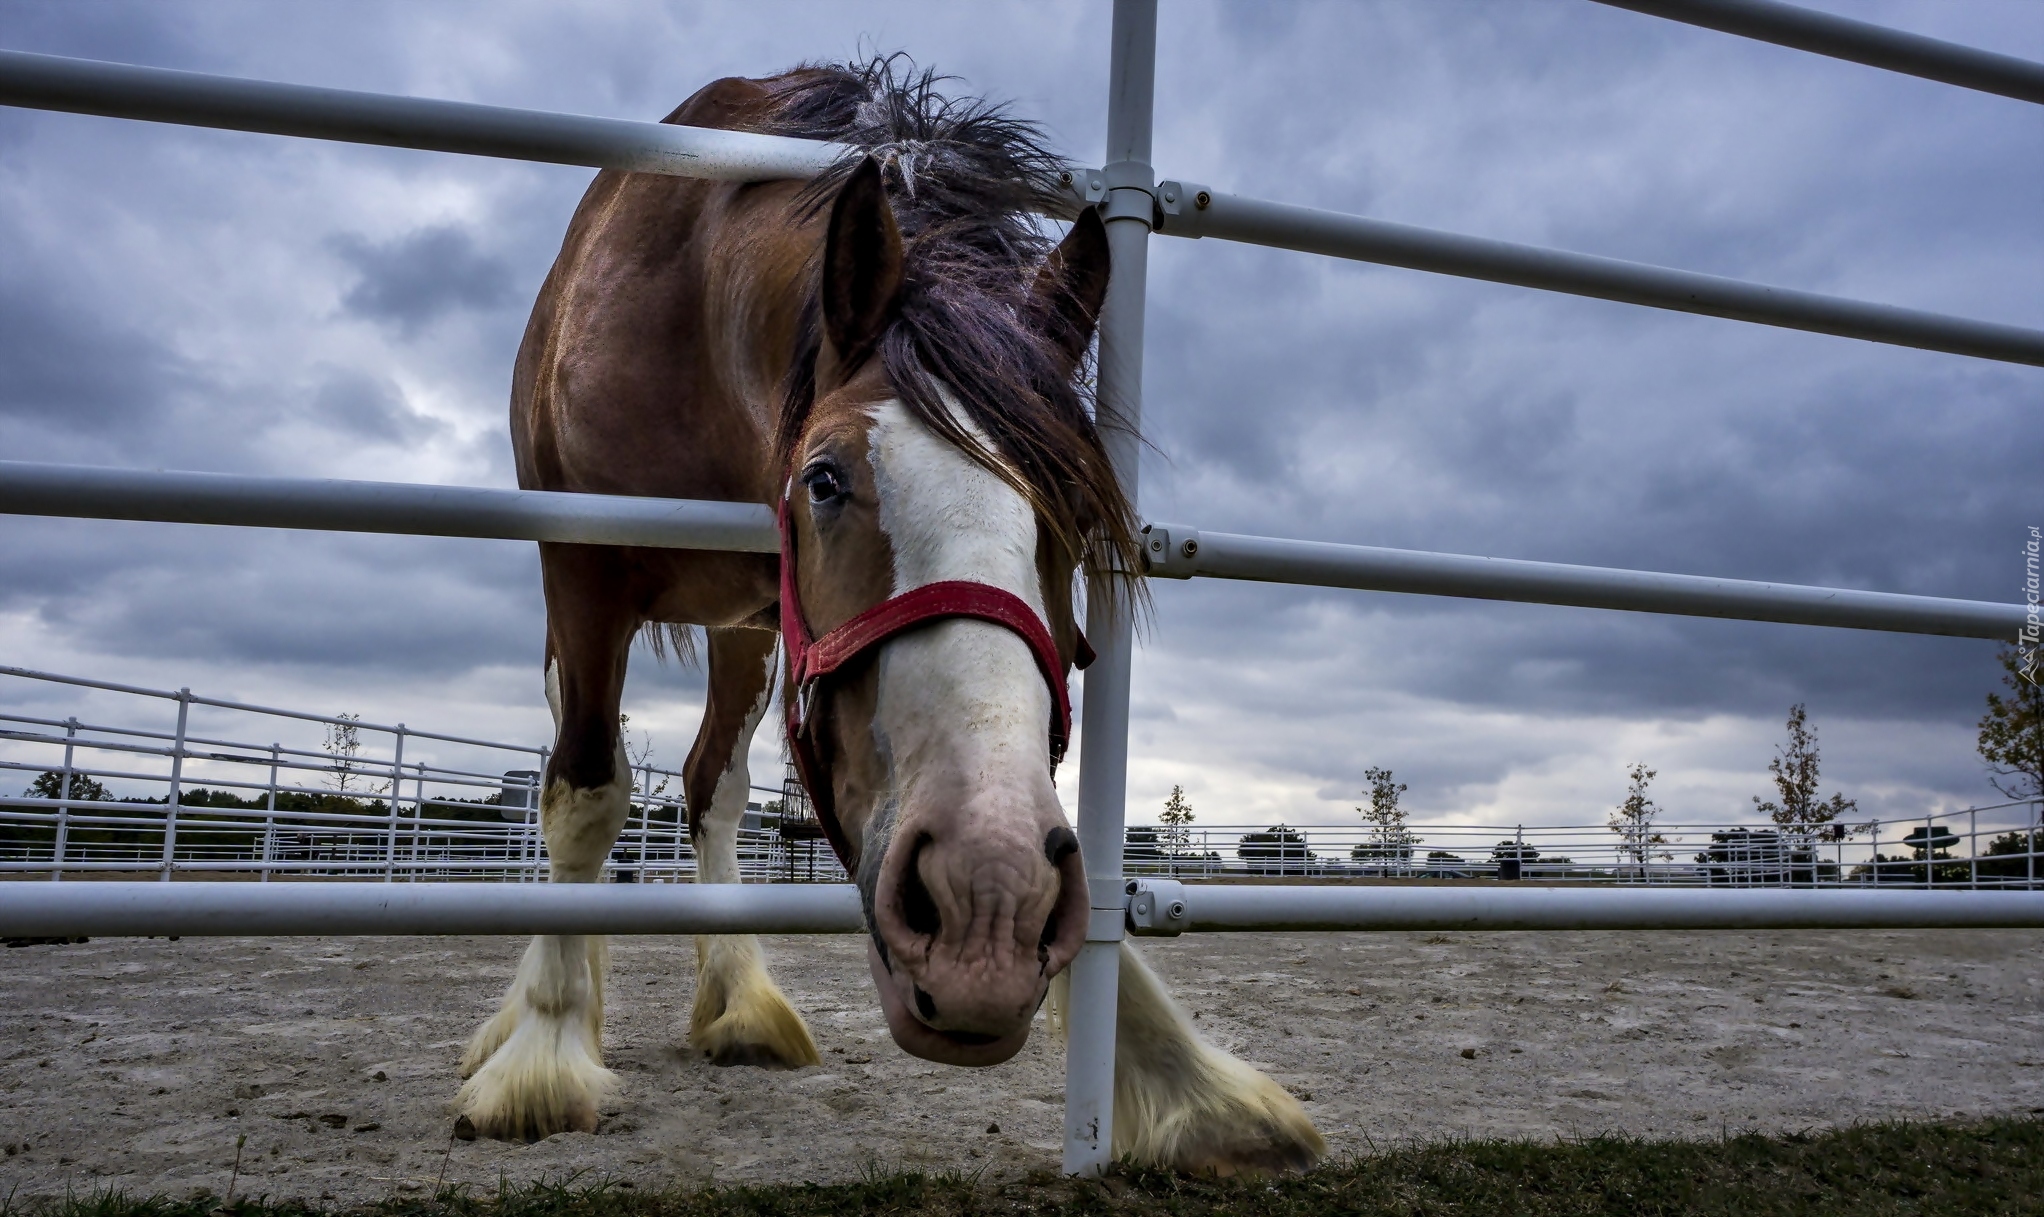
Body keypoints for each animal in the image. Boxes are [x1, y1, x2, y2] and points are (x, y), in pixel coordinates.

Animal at [459, 61, 1324, 1178]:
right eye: (824, 480)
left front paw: (1185, 1081)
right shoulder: (582, 569)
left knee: (711, 786)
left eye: (1075, 512)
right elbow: (585, 794)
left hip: (748, 632)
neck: (686, 302)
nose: (986, 903)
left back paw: (741, 1000)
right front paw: (545, 1053)